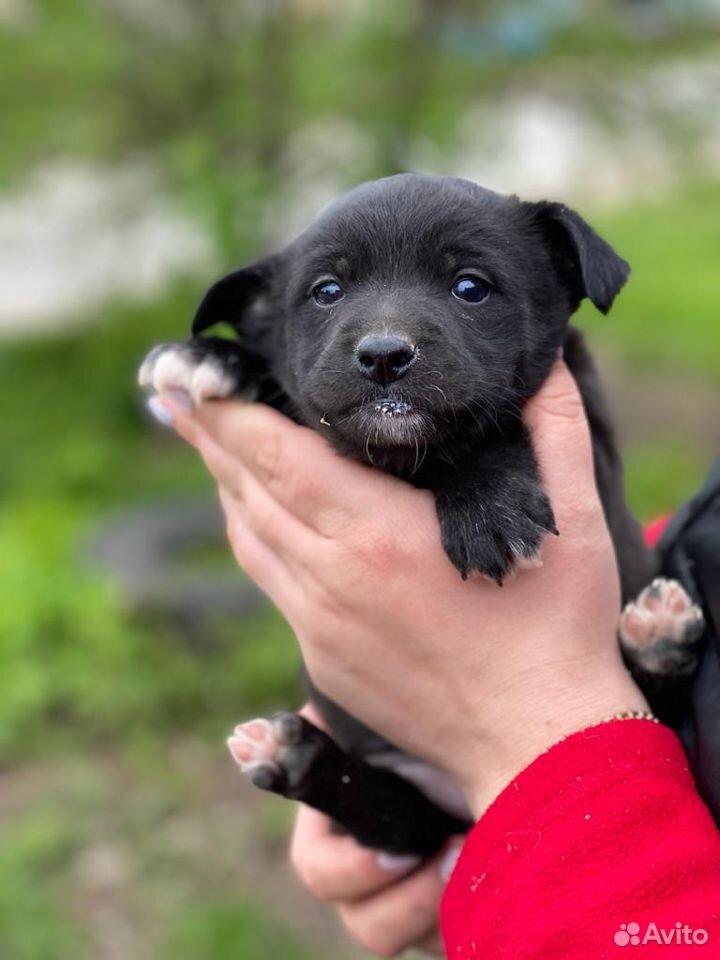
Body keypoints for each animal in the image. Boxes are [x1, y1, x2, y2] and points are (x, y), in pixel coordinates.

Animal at [139, 172, 704, 856]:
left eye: (471, 287)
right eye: (326, 292)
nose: (384, 354)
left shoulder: (585, 426)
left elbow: (486, 426)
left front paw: (488, 510)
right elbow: (295, 391)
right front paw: (212, 359)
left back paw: (662, 642)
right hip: (400, 799)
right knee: (394, 816)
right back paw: (293, 756)